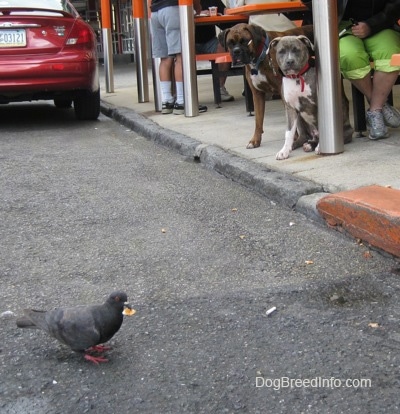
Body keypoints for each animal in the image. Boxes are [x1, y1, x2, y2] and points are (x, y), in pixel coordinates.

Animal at [219, 23, 354, 150]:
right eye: (230, 43)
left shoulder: (283, 92)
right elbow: (258, 120)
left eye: (245, 41)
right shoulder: (257, 94)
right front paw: (255, 140)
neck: (261, 57)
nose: (236, 51)